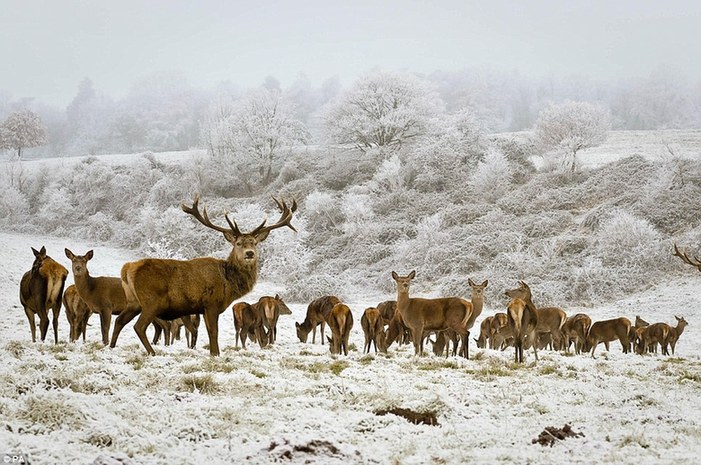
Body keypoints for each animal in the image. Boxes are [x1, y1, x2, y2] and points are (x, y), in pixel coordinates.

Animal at [109, 194, 296, 358]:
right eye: (238, 243)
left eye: (255, 243)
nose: (249, 253)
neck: (228, 284)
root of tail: (128, 268)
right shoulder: (211, 303)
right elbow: (213, 331)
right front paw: (215, 354)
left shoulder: (203, 308)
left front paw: (214, 353)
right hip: (151, 301)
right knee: (138, 326)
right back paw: (152, 352)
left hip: (133, 301)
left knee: (119, 321)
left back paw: (111, 347)